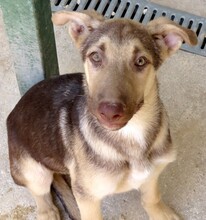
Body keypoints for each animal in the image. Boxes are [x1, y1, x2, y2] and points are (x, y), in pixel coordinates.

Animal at [6, 10, 196, 220]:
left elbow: (151, 197)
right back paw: (47, 212)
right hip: (33, 171)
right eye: (95, 57)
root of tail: (12, 114)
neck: (132, 133)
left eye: (140, 61)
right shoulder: (87, 197)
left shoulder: (153, 172)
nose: (109, 112)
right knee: (41, 193)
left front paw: (160, 213)